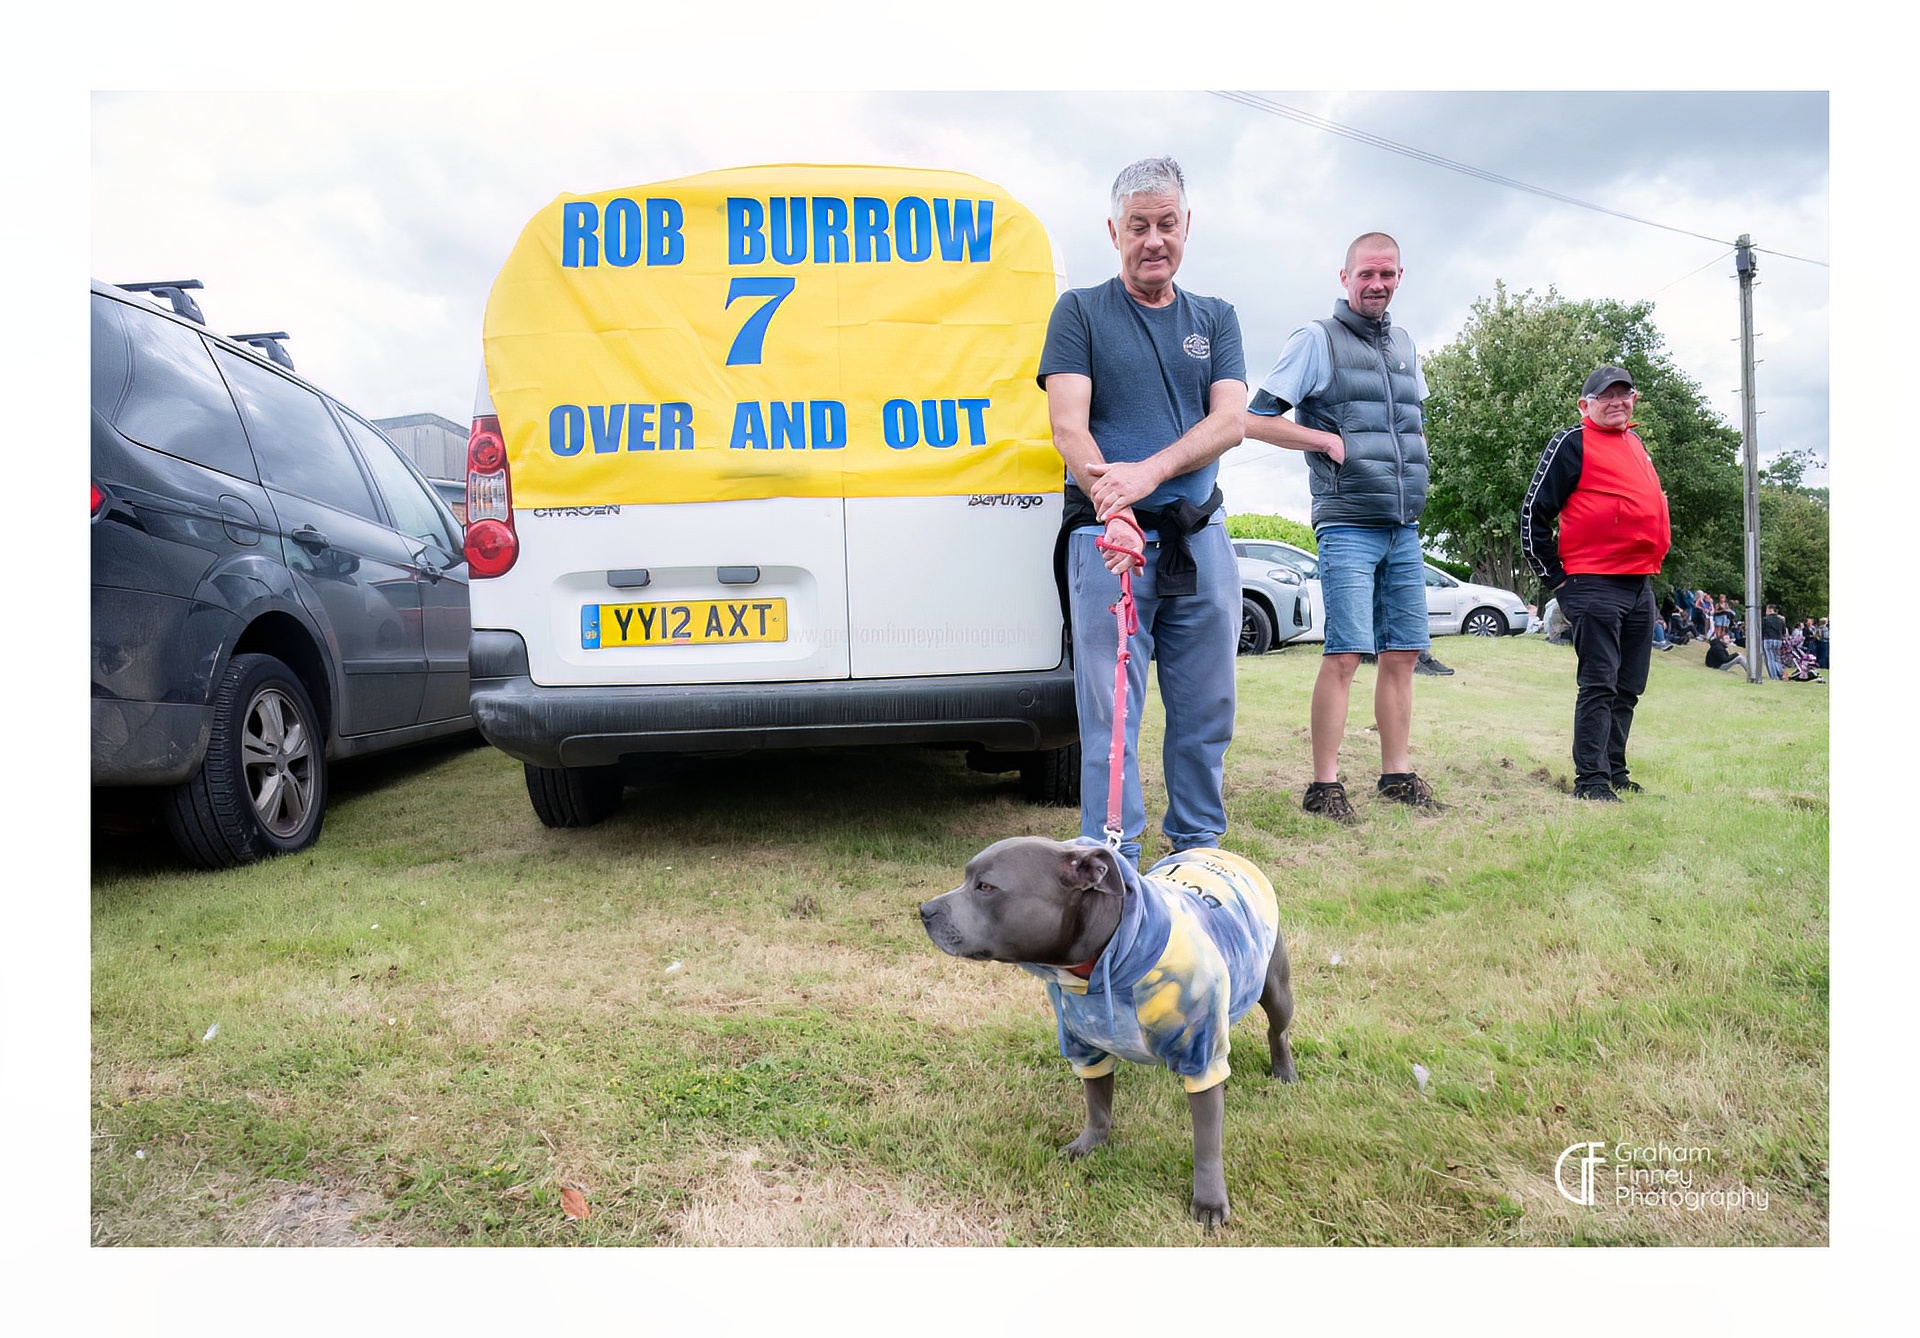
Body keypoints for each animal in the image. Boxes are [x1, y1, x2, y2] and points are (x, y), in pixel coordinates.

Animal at [921, 840, 1297, 1228]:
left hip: (1275, 987)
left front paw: (1209, 1200)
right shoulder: (1085, 1048)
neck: (1101, 962)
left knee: (1278, 1030)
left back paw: (1284, 1071)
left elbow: (1207, 1141)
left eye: (985, 887)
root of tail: (1218, 852)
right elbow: (1097, 1105)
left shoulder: (1201, 1057)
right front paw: (1090, 1144)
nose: (924, 910)